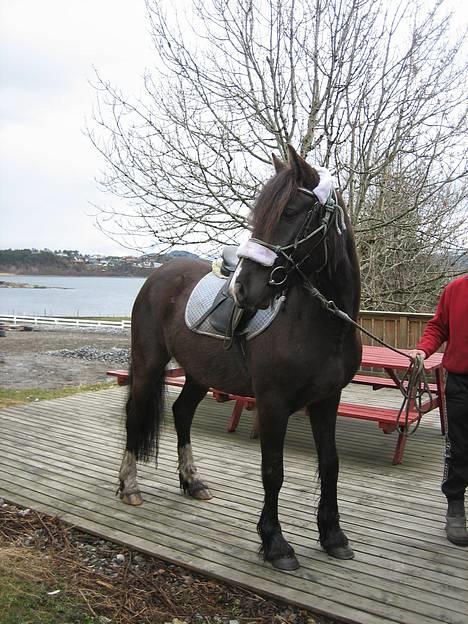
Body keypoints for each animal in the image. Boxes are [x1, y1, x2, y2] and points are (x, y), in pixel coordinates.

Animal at [118, 145, 362, 572]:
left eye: (291, 212)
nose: (244, 289)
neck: (323, 324)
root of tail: (160, 273)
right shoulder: (273, 403)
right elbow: (273, 470)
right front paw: (276, 544)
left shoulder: (327, 400)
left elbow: (330, 463)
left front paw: (333, 535)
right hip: (148, 363)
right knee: (135, 414)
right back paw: (129, 485)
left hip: (199, 373)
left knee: (182, 413)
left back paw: (192, 481)